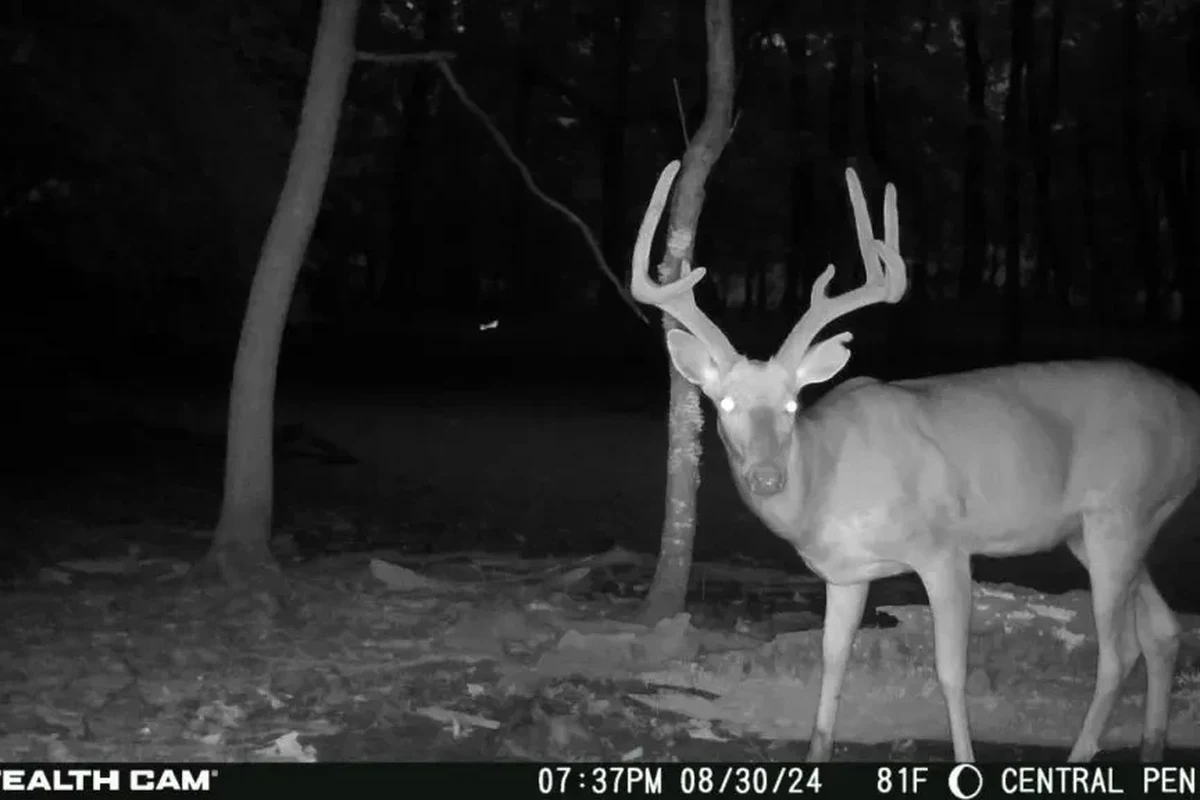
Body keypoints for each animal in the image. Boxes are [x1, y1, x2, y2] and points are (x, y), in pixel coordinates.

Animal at [631, 159, 1200, 763]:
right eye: (727, 404)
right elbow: (833, 661)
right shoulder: (846, 573)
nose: (766, 475)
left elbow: (950, 672)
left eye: (791, 404)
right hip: (1101, 530)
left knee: (1119, 652)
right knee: (1163, 631)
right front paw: (816, 754)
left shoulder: (945, 547)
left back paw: (1080, 755)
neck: (828, 484)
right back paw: (1152, 750)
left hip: (1118, 513)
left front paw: (966, 761)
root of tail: (1191, 405)